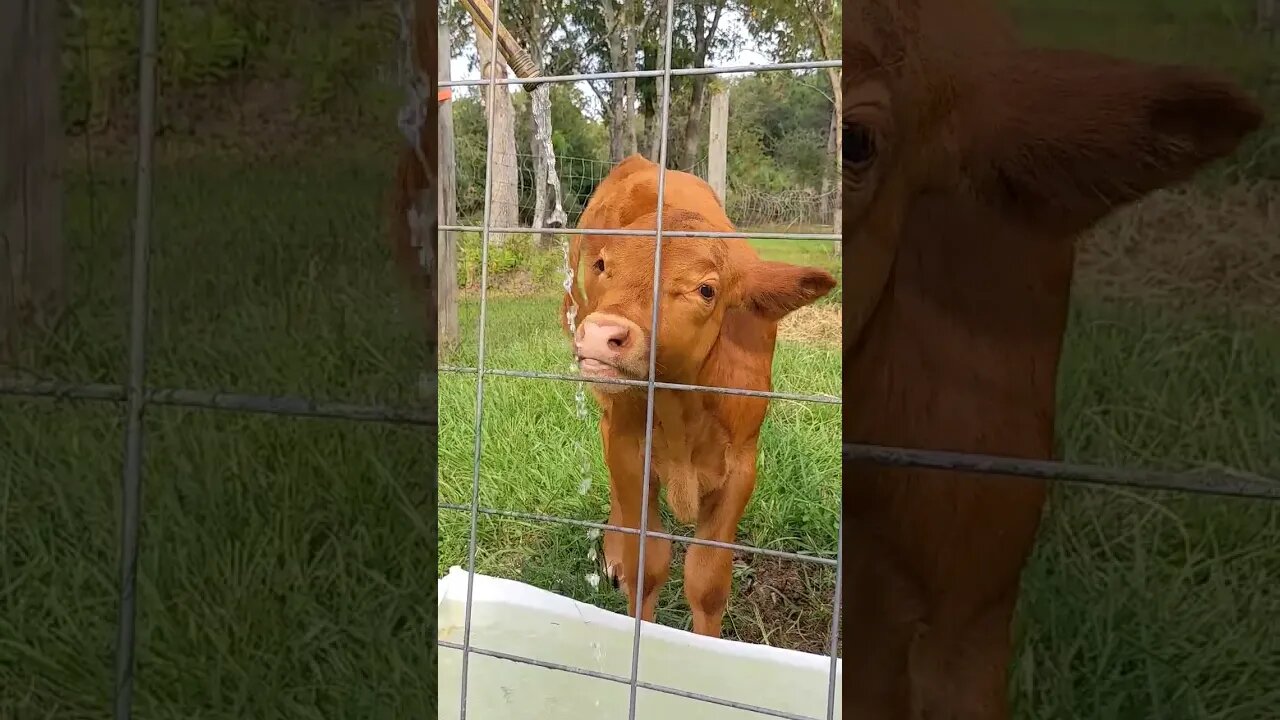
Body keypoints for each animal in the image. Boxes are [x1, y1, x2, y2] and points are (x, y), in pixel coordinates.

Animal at [565, 155, 834, 632]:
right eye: (602, 266)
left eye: (706, 289)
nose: (599, 334)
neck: (681, 412)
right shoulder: (631, 452)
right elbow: (647, 562)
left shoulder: (742, 466)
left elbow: (707, 581)